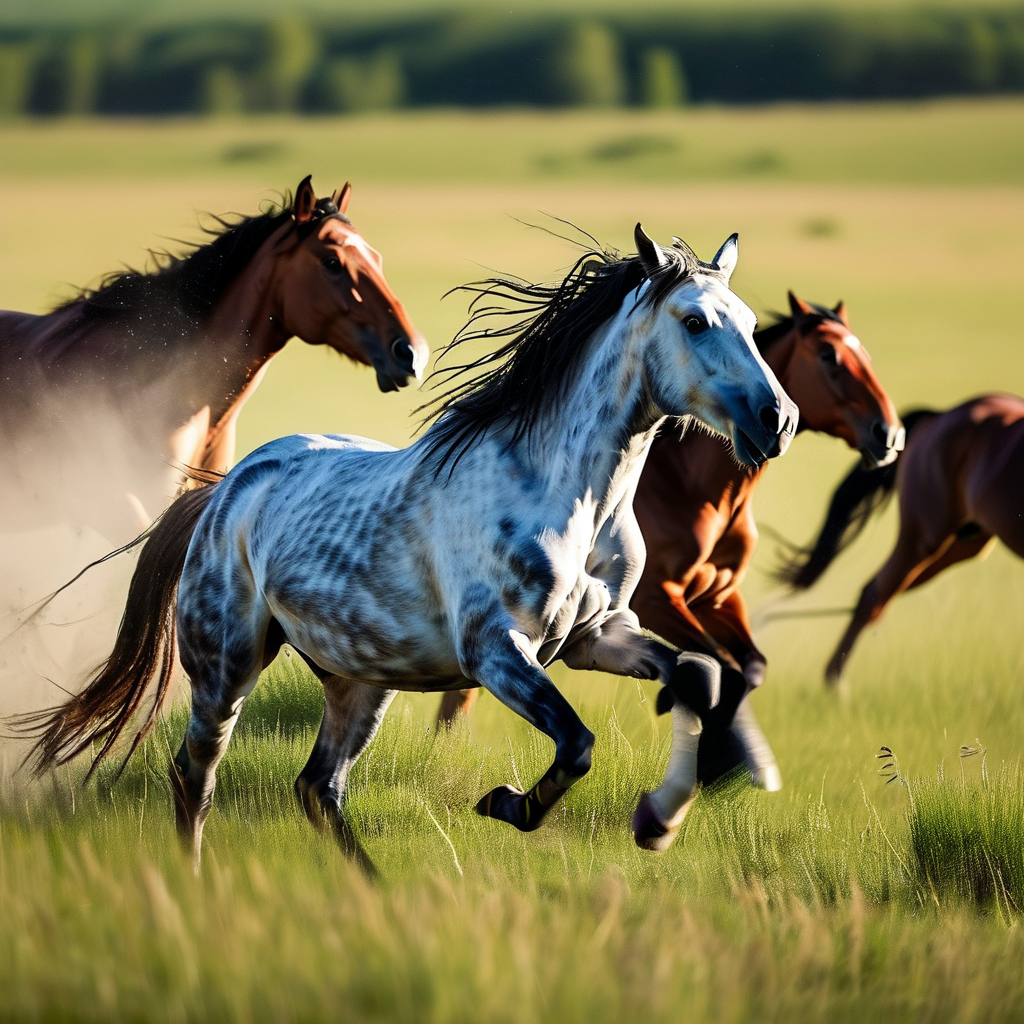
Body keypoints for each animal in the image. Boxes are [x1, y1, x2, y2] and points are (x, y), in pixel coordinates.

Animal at [18, 226, 797, 872]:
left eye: (752, 324)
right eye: (694, 321)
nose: (778, 419)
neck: (569, 495)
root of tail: (224, 491)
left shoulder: (596, 638)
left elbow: (698, 675)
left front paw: (659, 821)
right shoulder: (495, 653)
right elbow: (576, 744)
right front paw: (504, 802)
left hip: (359, 681)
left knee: (317, 787)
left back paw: (372, 891)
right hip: (226, 666)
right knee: (194, 775)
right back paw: (196, 885)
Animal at [438, 293, 903, 848]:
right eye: (830, 355)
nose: (888, 435)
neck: (695, 489)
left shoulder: (718, 597)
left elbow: (748, 665)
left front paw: (731, 763)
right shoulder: (661, 600)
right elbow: (723, 664)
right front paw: (715, 768)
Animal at [778, 395, 1024, 687]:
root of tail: (940, 415)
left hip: (965, 542)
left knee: (877, 595)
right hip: (923, 536)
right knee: (874, 593)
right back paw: (835, 684)